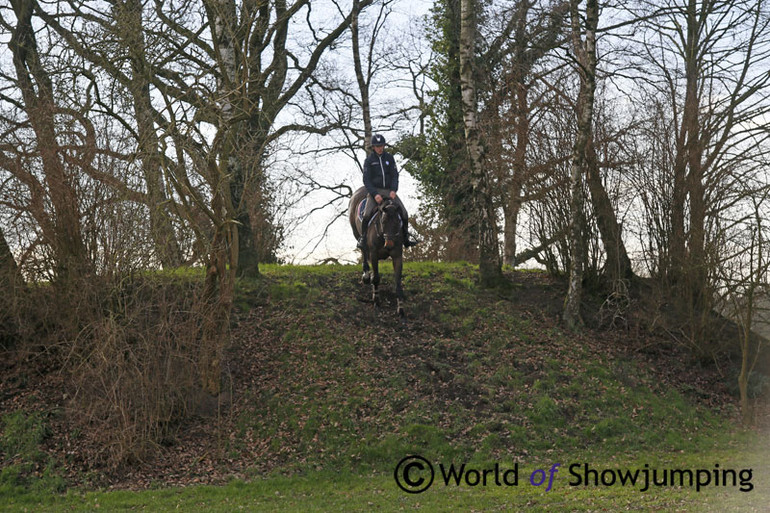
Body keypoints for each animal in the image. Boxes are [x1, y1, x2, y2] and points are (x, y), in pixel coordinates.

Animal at [348, 186, 404, 318]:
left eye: (397, 222)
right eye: (383, 222)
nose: (389, 244)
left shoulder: (397, 256)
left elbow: (398, 283)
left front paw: (400, 309)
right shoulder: (374, 254)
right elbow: (377, 278)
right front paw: (376, 301)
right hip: (356, 232)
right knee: (363, 251)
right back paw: (366, 276)